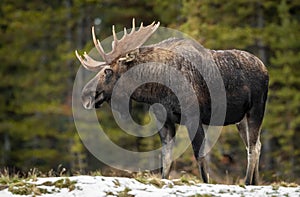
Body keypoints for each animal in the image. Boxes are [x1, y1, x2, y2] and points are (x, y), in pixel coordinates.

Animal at [75, 19, 270, 185]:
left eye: (107, 71)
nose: (85, 95)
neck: (157, 89)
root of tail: (265, 68)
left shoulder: (194, 117)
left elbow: (200, 157)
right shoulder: (165, 121)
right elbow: (166, 160)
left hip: (256, 109)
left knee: (253, 148)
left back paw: (247, 182)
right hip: (240, 119)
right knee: (256, 145)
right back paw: (255, 182)